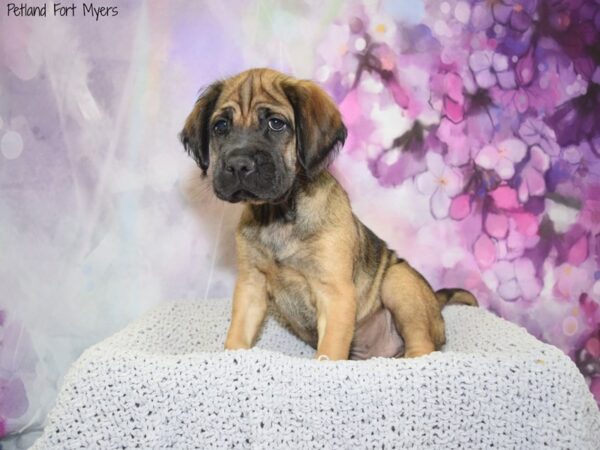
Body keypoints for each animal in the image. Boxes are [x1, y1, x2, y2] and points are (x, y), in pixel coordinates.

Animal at [180, 67, 476, 362]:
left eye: (276, 124)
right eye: (220, 127)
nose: (238, 165)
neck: (278, 213)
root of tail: (435, 301)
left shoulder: (334, 294)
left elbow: (329, 352)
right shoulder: (251, 286)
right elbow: (238, 334)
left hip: (398, 282)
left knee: (422, 347)